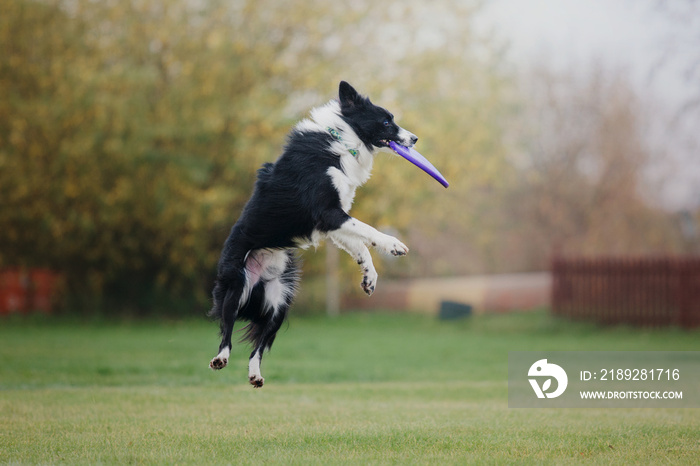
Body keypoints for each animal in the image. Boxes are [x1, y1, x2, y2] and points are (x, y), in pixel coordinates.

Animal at [208, 82, 416, 388]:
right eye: (387, 121)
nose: (415, 138)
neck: (343, 138)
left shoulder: (331, 222)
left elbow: (360, 246)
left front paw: (370, 278)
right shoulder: (328, 213)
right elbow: (368, 231)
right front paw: (394, 244)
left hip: (280, 302)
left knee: (258, 346)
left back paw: (256, 375)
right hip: (235, 283)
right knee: (227, 331)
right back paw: (220, 358)